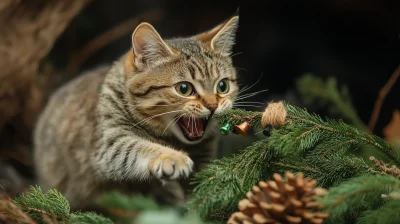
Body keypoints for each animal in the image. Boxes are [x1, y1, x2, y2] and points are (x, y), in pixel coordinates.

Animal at [33, 15, 238, 210]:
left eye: (222, 86)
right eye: (184, 89)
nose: (213, 105)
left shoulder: (205, 156)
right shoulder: (109, 143)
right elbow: (137, 147)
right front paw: (172, 157)